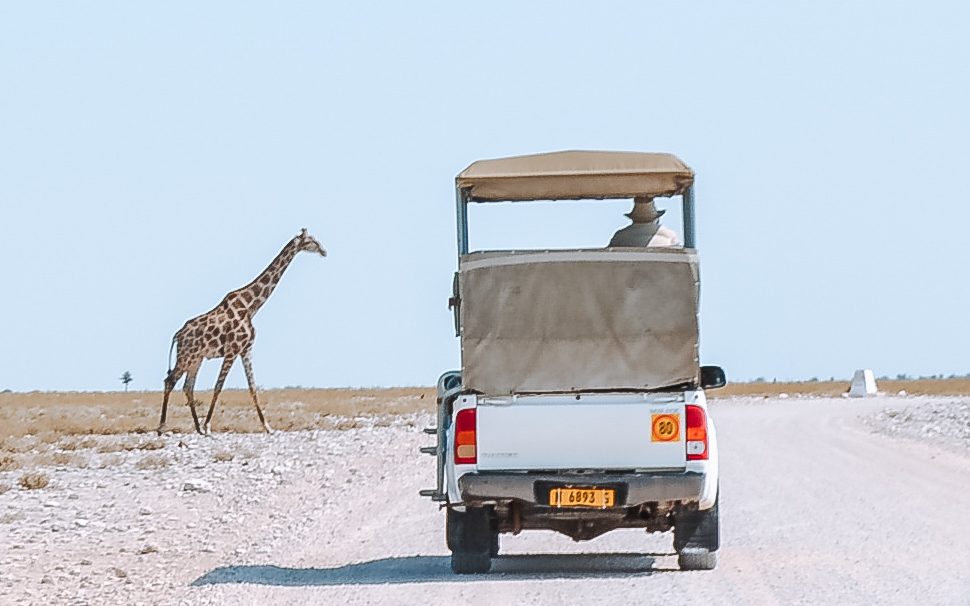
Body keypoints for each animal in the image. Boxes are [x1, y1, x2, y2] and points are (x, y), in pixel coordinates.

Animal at [157, 229, 328, 436]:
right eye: (311, 241)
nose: (324, 251)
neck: (251, 306)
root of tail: (178, 335)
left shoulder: (246, 349)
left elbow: (253, 387)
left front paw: (268, 427)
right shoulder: (232, 350)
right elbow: (218, 386)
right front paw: (208, 426)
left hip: (196, 359)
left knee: (187, 387)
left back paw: (197, 428)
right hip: (186, 356)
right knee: (169, 381)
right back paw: (163, 427)